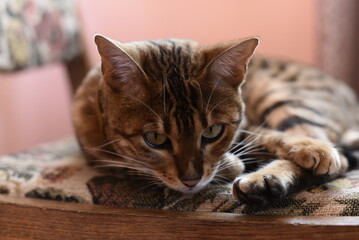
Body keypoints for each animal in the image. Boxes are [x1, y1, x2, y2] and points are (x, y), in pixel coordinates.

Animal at [71, 34, 358, 205]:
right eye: (155, 138)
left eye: (212, 131)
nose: (191, 180)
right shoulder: (98, 154)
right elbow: (133, 167)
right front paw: (231, 165)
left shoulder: (246, 126)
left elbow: (269, 136)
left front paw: (312, 148)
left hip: (282, 94)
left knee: (340, 160)